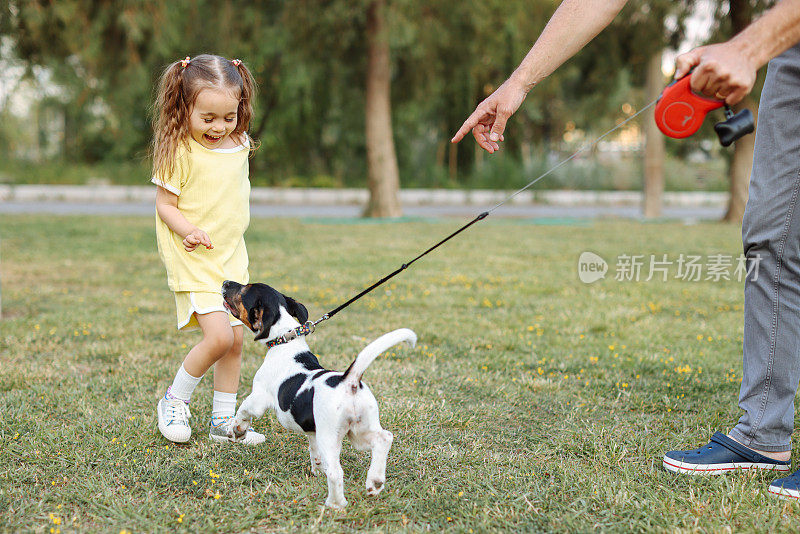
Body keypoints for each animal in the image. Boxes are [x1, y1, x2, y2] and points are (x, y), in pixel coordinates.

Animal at [220, 280, 416, 510]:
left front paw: (236, 431)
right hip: (359, 432)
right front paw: (316, 469)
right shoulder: (312, 431)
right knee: (384, 438)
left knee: (337, 472)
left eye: (244, 290)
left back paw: (335, 504)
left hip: (331, 436)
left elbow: (242, 411)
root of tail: (349, 381)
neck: (286, 341)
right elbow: (314, 452)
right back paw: (374, 481)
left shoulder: (258, 397)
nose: (225, 283)